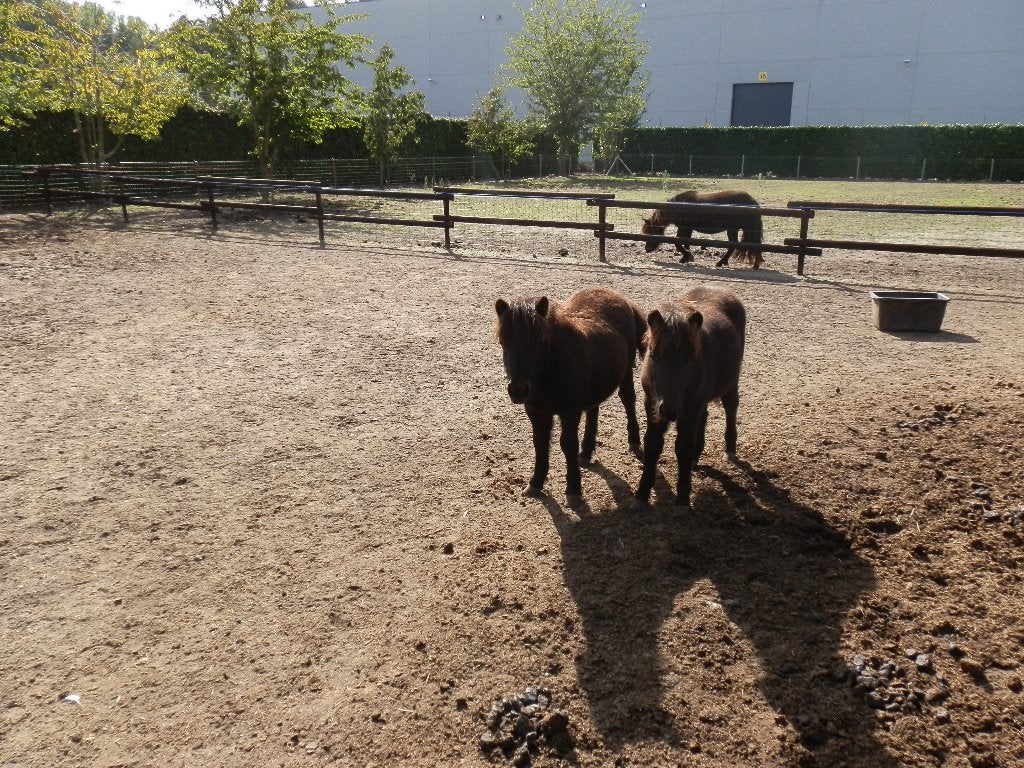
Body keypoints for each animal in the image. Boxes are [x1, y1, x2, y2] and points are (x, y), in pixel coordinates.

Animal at [494, 287, 647, 506]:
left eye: (539, 342)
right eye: (503, 341)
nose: (518, 390)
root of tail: (617, 296)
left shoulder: (570, 411)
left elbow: (567, 445)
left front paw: (573, 490)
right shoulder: (536, 411)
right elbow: (540, 444)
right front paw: (535, 483)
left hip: (626, 372)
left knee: (628, 399)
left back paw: (633, 441)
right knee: (593, 409)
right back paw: (586, 452)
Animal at [634, 286, 746, 509]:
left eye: (690, 357)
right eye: (654, 355)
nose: (670, 410)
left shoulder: (688, 409)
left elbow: (683, 447)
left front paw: (683, 499)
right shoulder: (652, 406)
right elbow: (652, 446)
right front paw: (642, 493)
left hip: (729, 384)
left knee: (731, 407)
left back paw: (729, 449)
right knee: (705, 415)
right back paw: (697, 455)